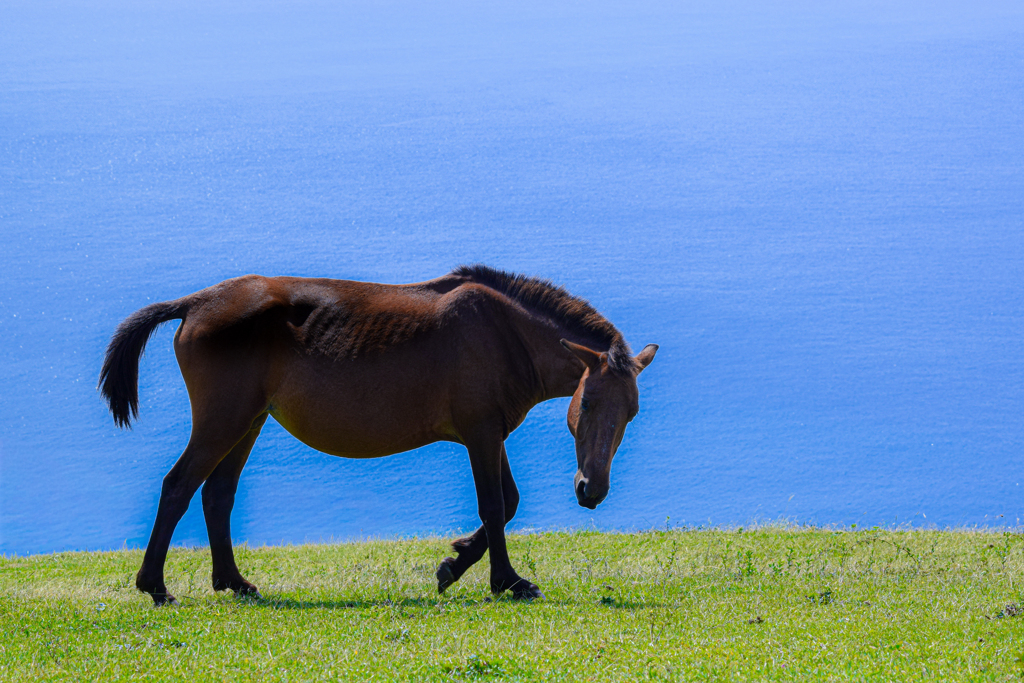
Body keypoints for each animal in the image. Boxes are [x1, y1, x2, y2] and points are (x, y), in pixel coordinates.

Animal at [99, 265, 657, 605]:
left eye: (631, 413)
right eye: (588, 402)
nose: (591, 490)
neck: (503, 332)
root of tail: (196, 303)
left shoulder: (492, 433)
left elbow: (509, 502)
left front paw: (455, 563)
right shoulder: (481, 433)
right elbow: (495, 505)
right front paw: (506, 580)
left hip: (248, 421)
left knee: (217, 494)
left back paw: (234, 582)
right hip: (224, 420)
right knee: (178, 487)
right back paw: (155, 586)